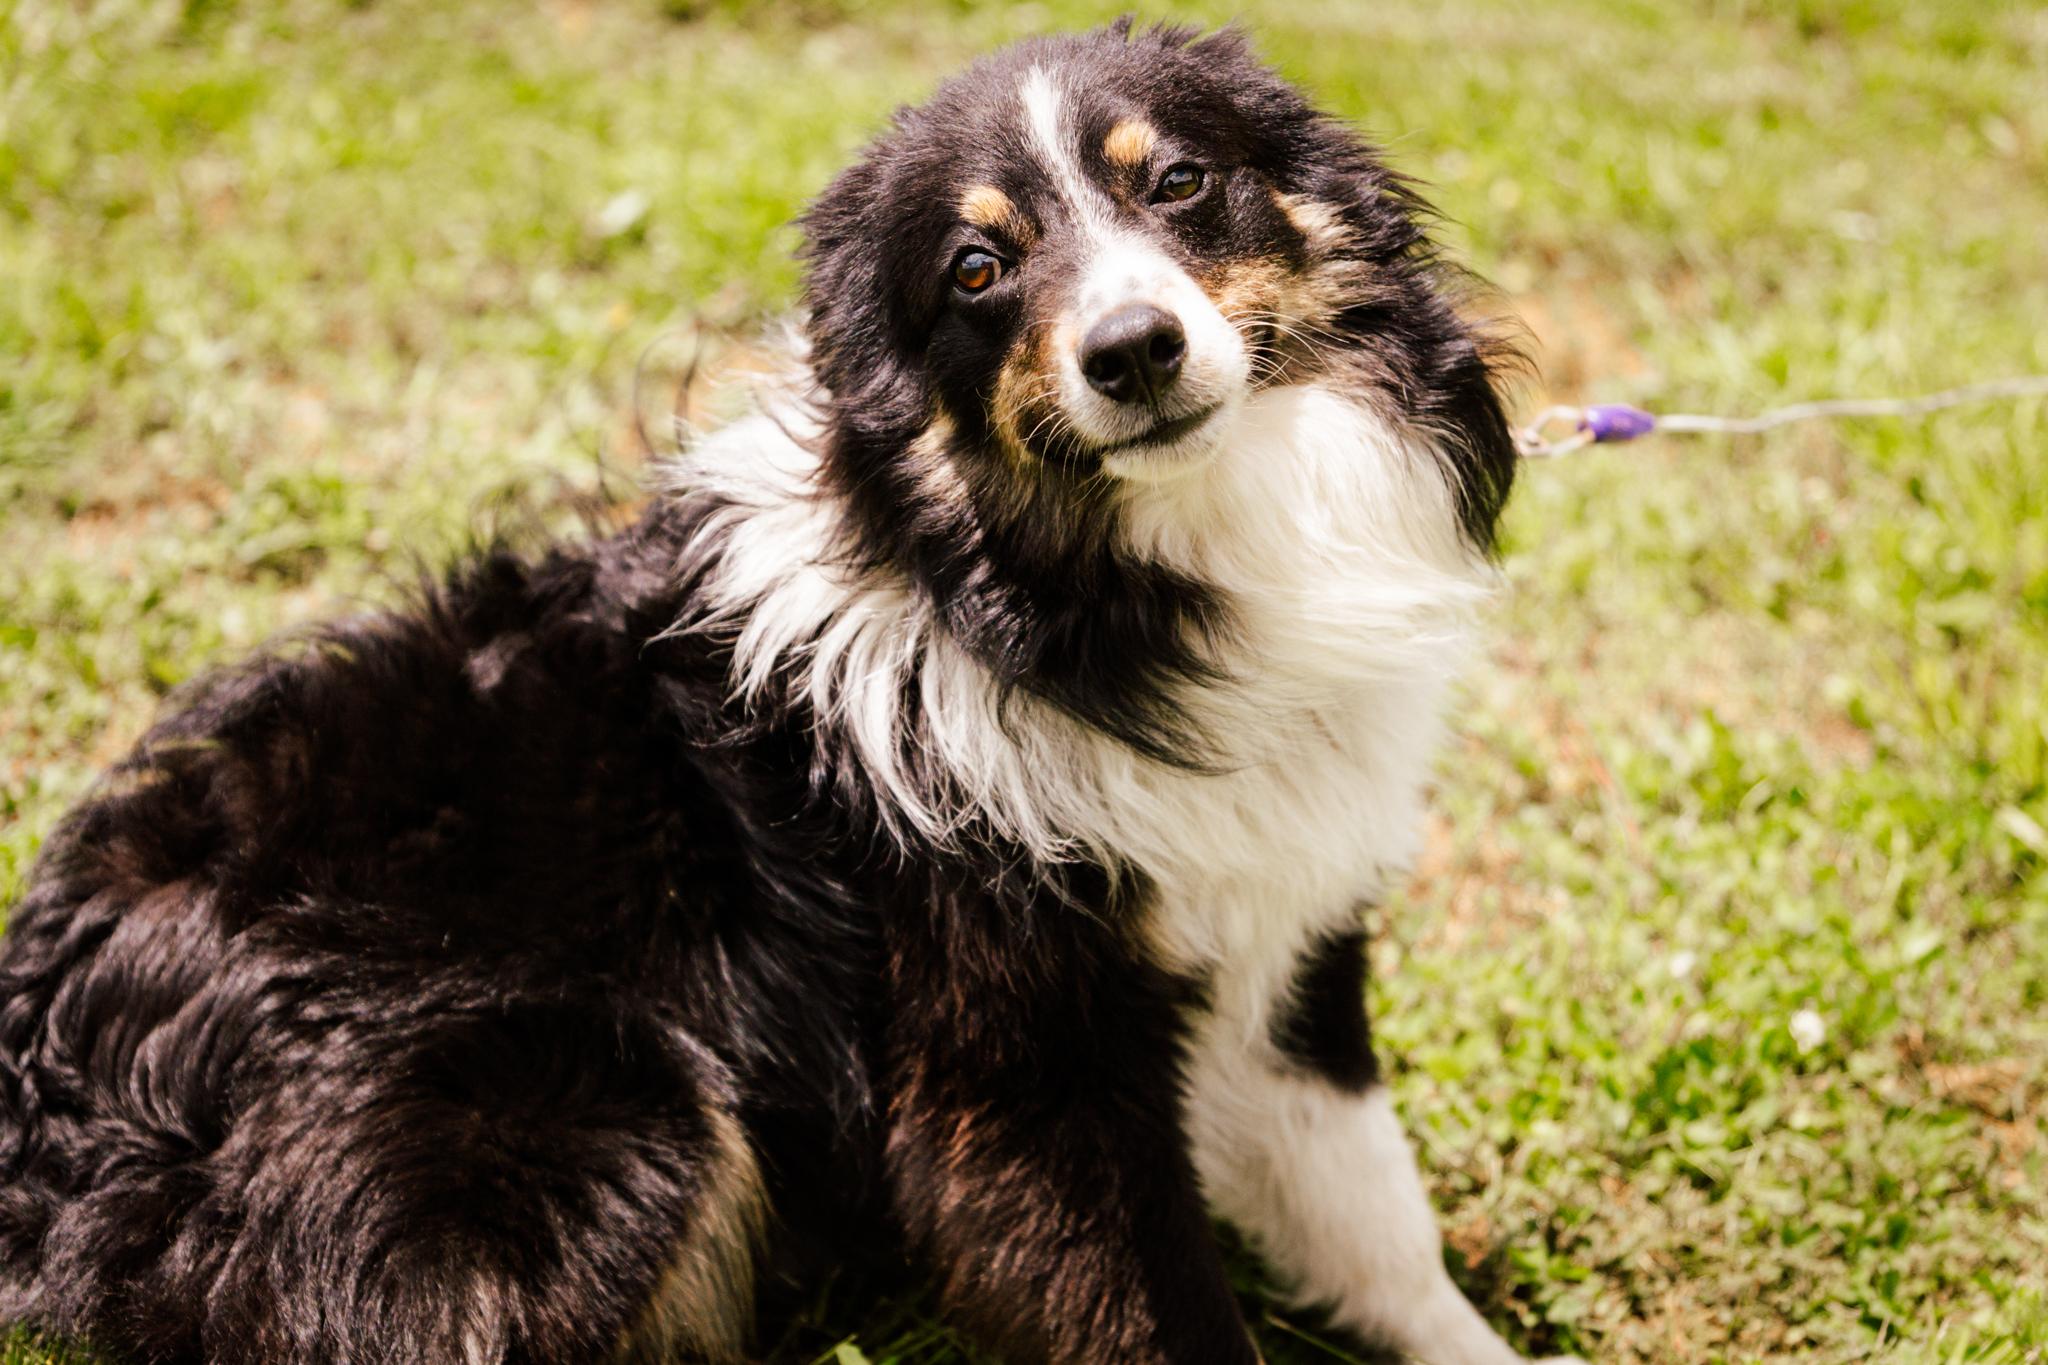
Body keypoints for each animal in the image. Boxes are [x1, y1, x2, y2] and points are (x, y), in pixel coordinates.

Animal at [0, 22, 1576, 1365]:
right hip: (612, 1112)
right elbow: (1164, 1309)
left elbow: (1375, 1219)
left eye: (1180, 182)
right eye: (975, 270)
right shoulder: (1019, 1070)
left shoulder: (1280, 946)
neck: (1071, 593)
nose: (1133, 350)